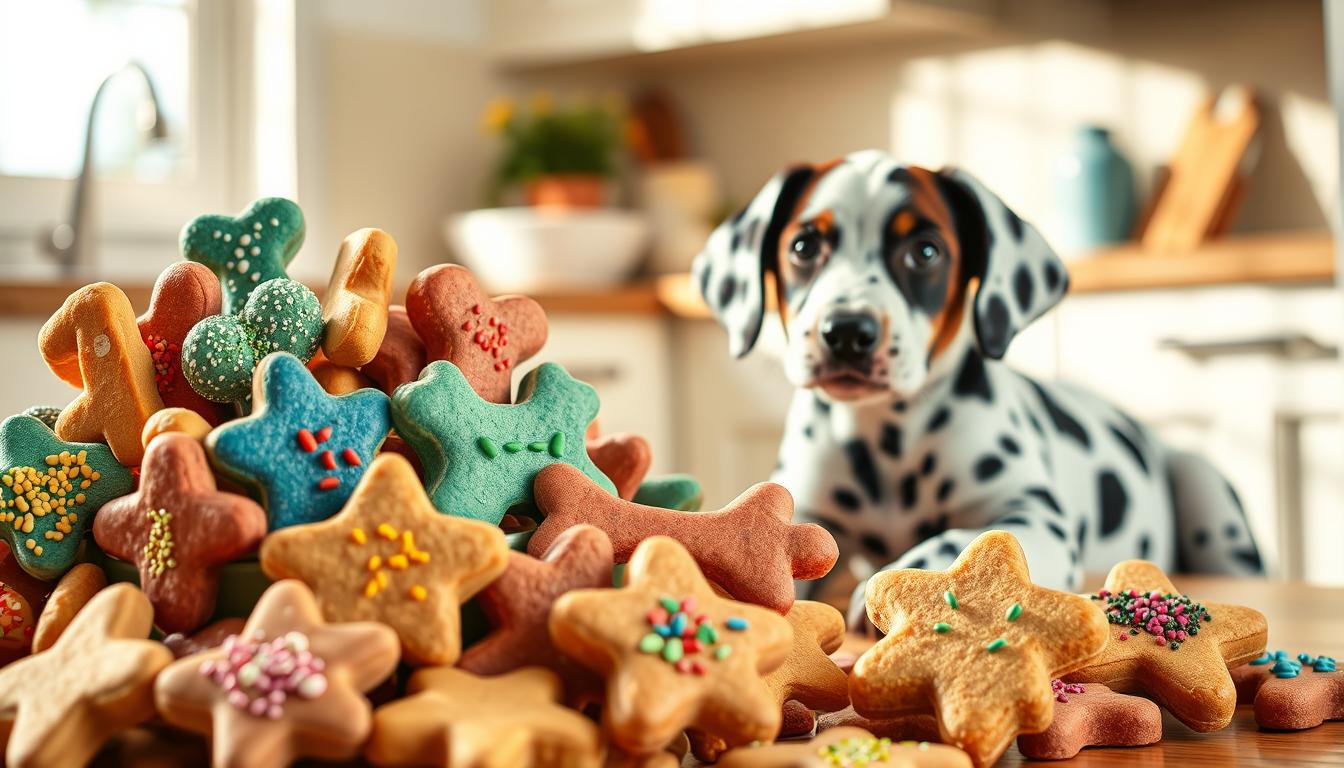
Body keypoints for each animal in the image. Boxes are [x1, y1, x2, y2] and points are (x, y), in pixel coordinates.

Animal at [688, 149, 1263, 624]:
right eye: (804, 246)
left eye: (925, 252)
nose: (847, 332)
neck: (885, 438)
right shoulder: (805, 515)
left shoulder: (1034, 515)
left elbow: (958, 542)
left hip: (1207, 497)